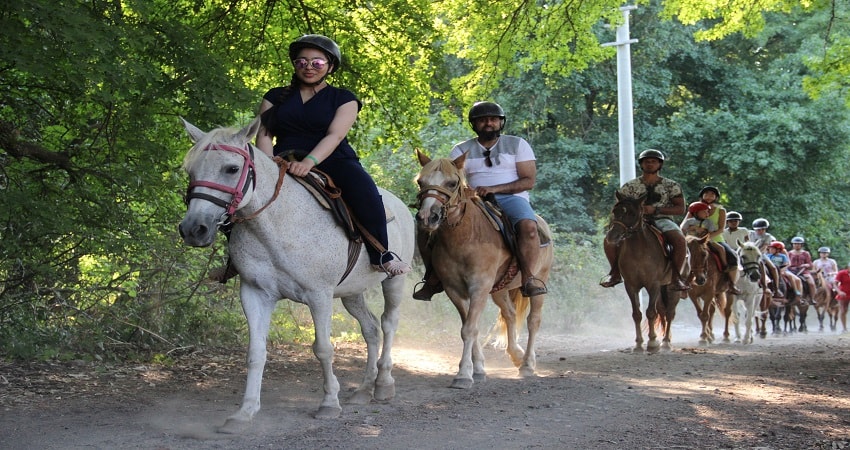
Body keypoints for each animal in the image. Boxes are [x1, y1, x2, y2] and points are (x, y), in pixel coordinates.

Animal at [177, 118, 412, 432]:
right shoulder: (255, 294)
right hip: (352, 292)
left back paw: (384, 384)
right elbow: (256, 353)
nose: (194, 229)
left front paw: (329, 403)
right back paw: (363, 389)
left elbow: (323, 348)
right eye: (191, 171)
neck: (275, 223)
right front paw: (244, 412)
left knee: (388, 323)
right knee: (371, 328)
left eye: (232, 169)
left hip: (394, 281)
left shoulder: (318, 295)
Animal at [412, 150, 552, 386]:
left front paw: (463, 375)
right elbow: (470, 327)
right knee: (510, 314)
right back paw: (516, 354)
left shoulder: (479, 287)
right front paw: (477, 369)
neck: (464, 237)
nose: (427, 217)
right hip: (499, 290)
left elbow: (469, 329)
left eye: (451, 183)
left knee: (534, 320)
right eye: (421, 182)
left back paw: (527, 364)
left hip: (539, 281)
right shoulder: (454, 289)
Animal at [604, 192, 684, 354]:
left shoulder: (653, 284)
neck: (639, 251)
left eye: (632, 213)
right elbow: (637, 314)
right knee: (663, 310)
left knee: (670, 313)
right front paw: (639, 344)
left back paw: (666, 343)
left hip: (671, 287)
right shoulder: (631, 285)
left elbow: (650, 312)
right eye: (614, 211)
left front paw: (652, 342)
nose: (612, 236)